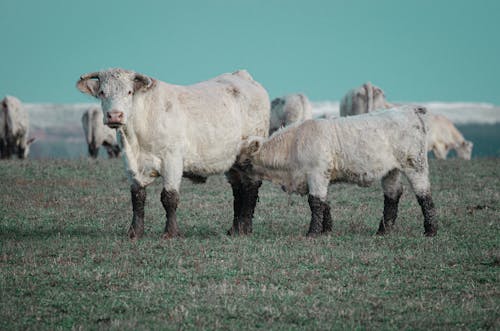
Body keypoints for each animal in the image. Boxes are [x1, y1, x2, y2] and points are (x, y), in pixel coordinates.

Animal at [76, 68, 270, 239]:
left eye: (129, 92)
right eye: (102, 92)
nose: (115, 115)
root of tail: (242, 76)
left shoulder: (172, 160)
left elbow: (169, 197)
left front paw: (171, 233)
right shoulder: (130, 164)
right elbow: (137, 196)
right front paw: (135, 232)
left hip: (251, 152)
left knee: (251, 187)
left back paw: (245, 229)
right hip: (232, 161)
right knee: (238, 189)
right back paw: (235, 229)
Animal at [238, 107, 438, 239]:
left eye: (244, 162)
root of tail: (409, 110)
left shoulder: (317, 173)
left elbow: (315, 202)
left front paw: (313, 233)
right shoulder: (318, 177)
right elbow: (324, 202)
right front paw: (326, 230)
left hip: (415, 164)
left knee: (424, 195)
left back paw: (431, 231)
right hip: (391, 170)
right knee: (392, 196)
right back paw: (383, 231)